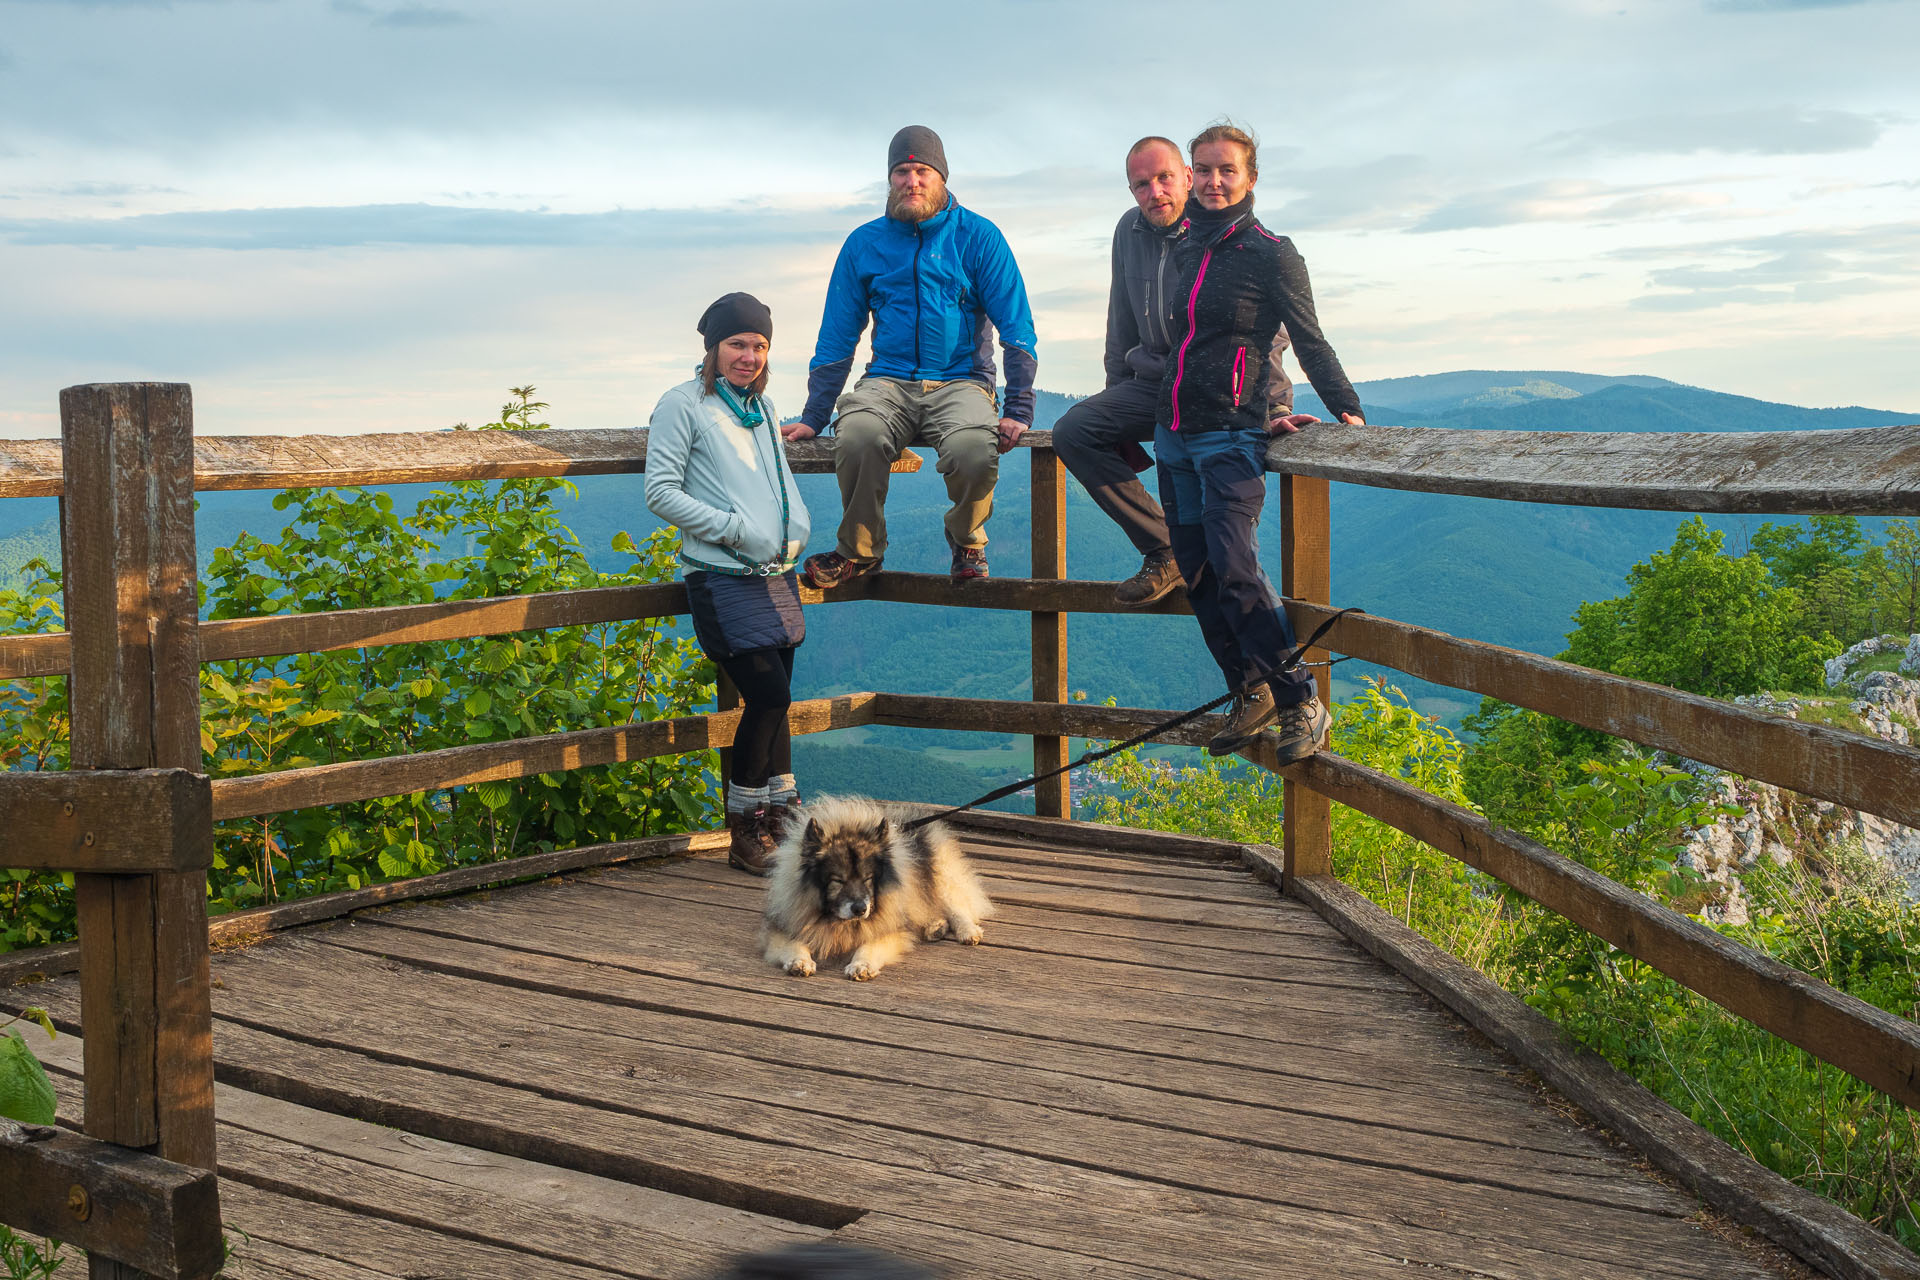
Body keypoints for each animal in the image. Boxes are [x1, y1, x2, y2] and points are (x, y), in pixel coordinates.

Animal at [764, 794, 998, 990]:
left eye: (868, 878)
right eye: (838, 881)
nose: (860, 909)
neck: (837, 921)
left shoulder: (889, 924)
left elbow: (871, 943)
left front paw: (861, 965)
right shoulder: (784, 923)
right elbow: (793, 942)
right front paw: (800, 960)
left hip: (940, 877)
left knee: (957, 907)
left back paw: (966, 931)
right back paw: (935, 927)